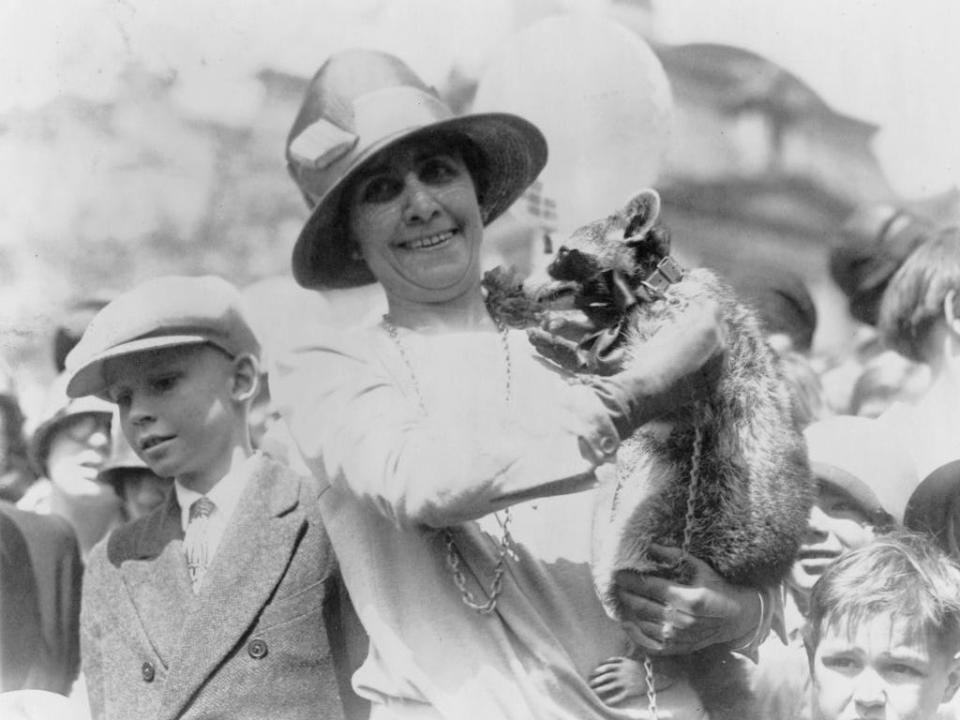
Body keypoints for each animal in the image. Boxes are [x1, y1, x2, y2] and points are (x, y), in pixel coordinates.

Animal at [488, 188, 808, 716]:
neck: (647, 288)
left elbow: (659, 390)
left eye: (563, 253)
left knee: (627, 555)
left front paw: (580, 352)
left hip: (689, 521)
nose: (525, 285)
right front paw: (569, 336)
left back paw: (660, 664)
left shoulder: (689, 335)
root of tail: (764, 567)